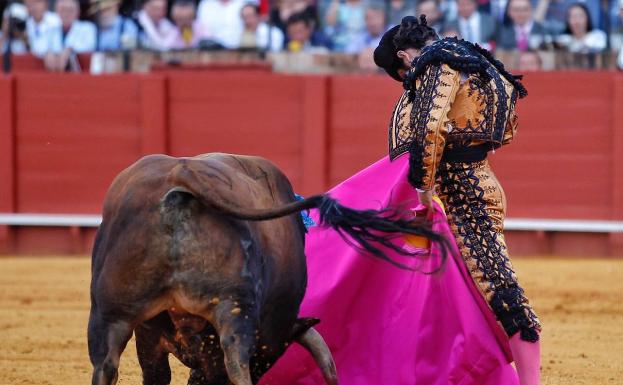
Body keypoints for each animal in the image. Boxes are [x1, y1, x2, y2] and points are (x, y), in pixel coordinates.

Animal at [88, 152, 448, 384]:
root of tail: (183, 173)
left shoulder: (150, 334)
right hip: (231, 309)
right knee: (236, 366)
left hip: (111, 313)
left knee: (106, 367)